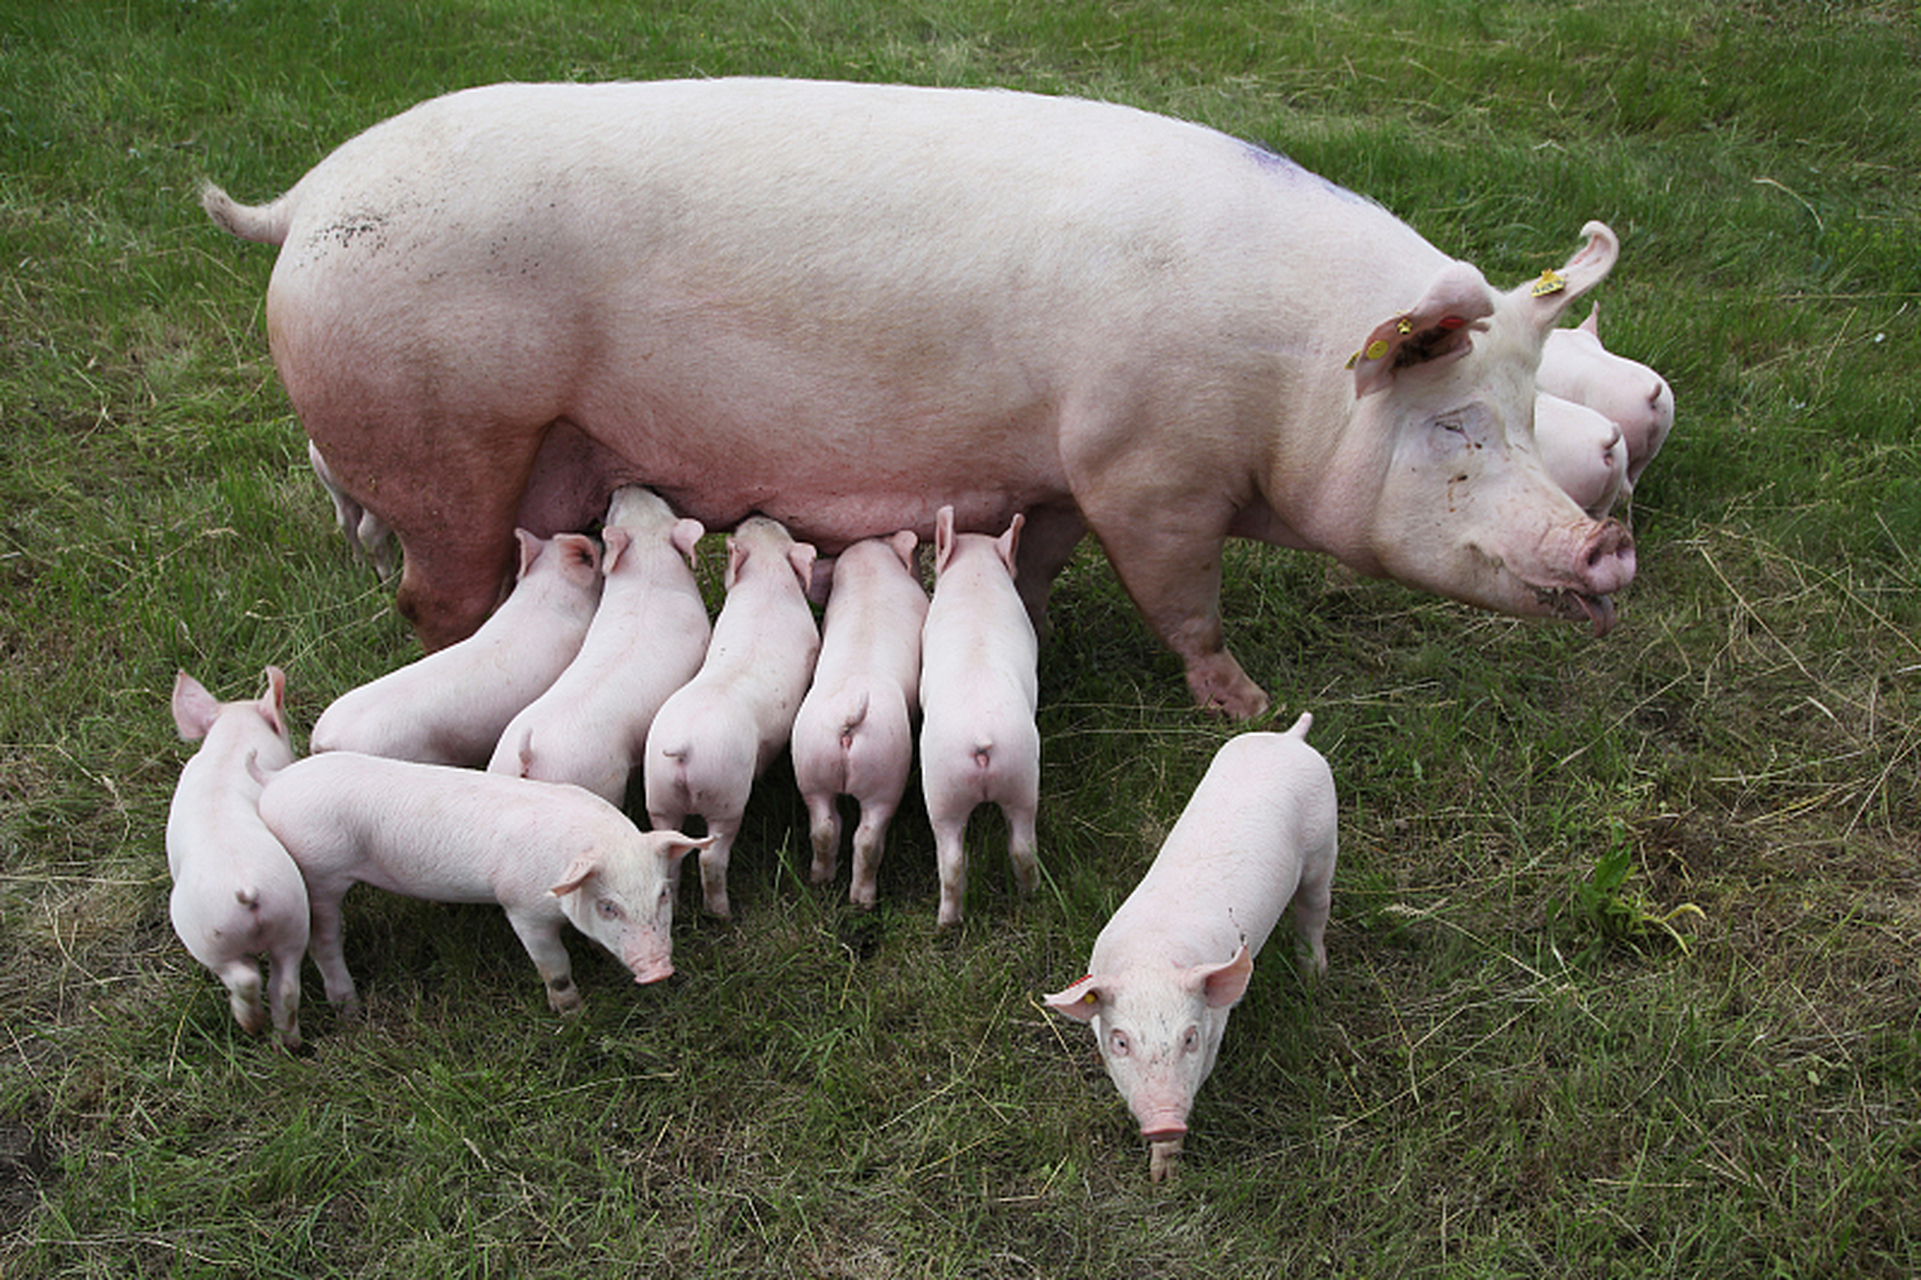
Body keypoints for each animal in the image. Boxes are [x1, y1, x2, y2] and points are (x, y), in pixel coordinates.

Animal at [202, 77, 1629, 718]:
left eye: (1525, 408)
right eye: (1455, 426)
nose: (1606, 546)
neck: (1284, 381)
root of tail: (304, 201)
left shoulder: (1064, 469)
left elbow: (1043, 559)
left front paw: (1033, 629)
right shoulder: (1148, 473)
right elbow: (1185, 599)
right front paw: (1249, 704)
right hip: (443, 437)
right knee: (431, 596)